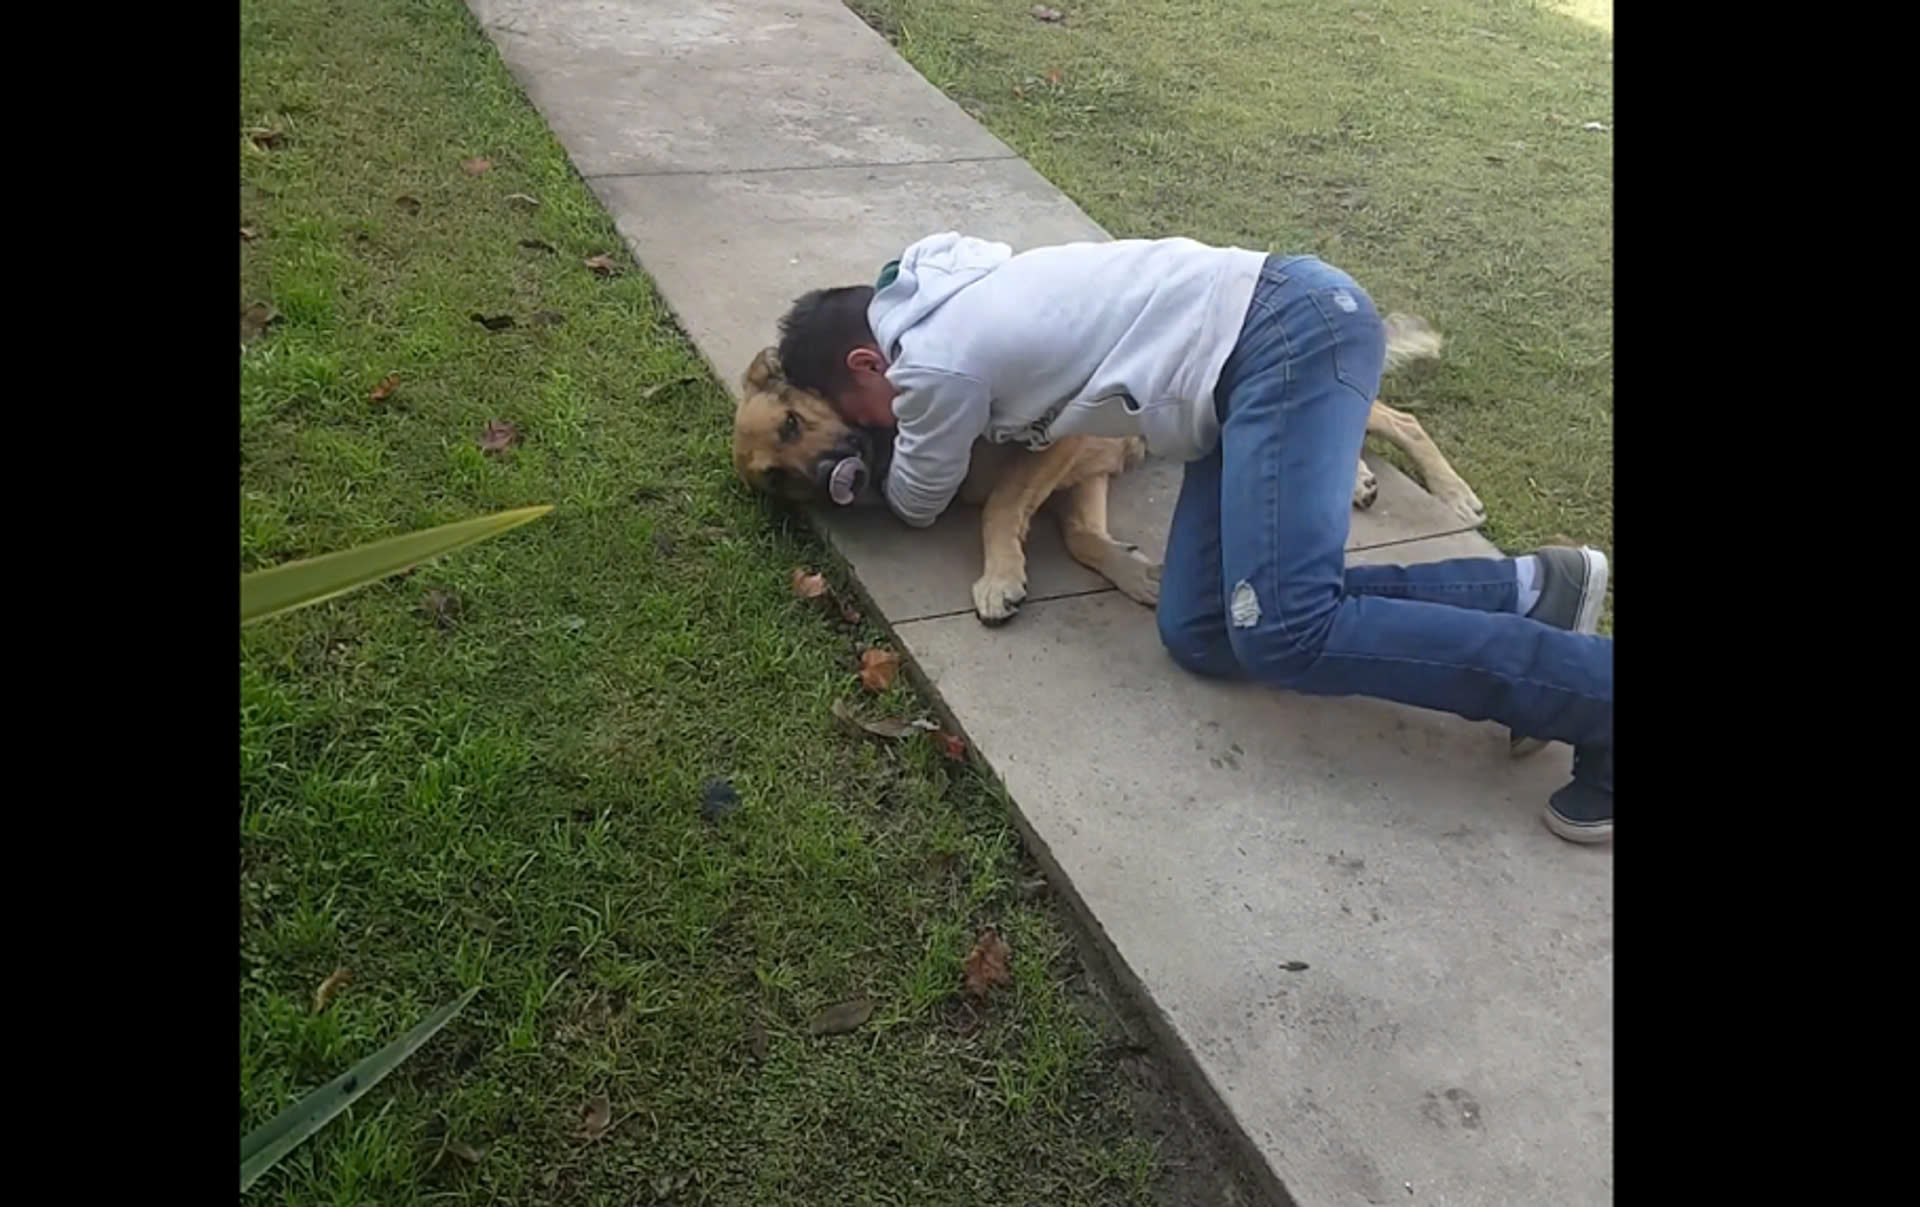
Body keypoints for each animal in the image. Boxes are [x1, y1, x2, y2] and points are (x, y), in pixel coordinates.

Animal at [733, 314, 1482, 625]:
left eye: (794, 422)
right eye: (777, 478)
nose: (832, 477)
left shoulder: (1072, 435)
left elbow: (1004, 507)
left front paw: (999, 576)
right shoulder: (1086, 472)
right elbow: (1081, 537)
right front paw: (1131, 570)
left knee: (1395, 418)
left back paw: (1451, 489)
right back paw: (1357, 478)